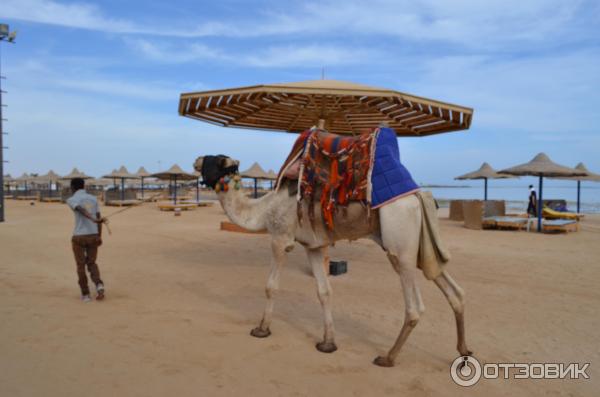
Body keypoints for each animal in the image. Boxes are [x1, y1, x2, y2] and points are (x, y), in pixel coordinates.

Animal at [195, 153, 472, 366]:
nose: (196, 160)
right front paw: (328, 343)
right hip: (417, 247)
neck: (262, 210)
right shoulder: (314, 246)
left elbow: (271, 286)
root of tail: (417, 196)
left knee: (415, 307)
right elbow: (324, 292)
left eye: (216, 159)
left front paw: (261, 329)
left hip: (400, 245)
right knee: (454, 290)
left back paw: (387, 357)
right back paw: (464, 350)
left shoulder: (280, 239)